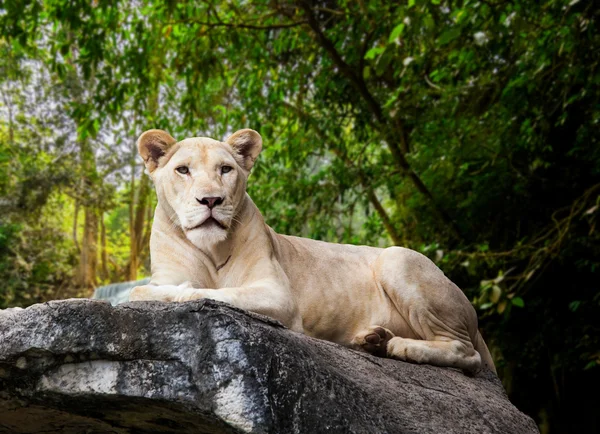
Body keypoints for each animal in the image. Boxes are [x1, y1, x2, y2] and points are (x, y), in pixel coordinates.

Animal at [131, 128, 496, 372]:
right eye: (183, 170)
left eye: (225, 169)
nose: (211, 200)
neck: (210, 249)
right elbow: (147, 289)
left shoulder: (278, 295)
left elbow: (204, 292)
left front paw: (178, 293)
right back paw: (373, 341)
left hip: (397, 258)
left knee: (466, 354)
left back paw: (398, 346)